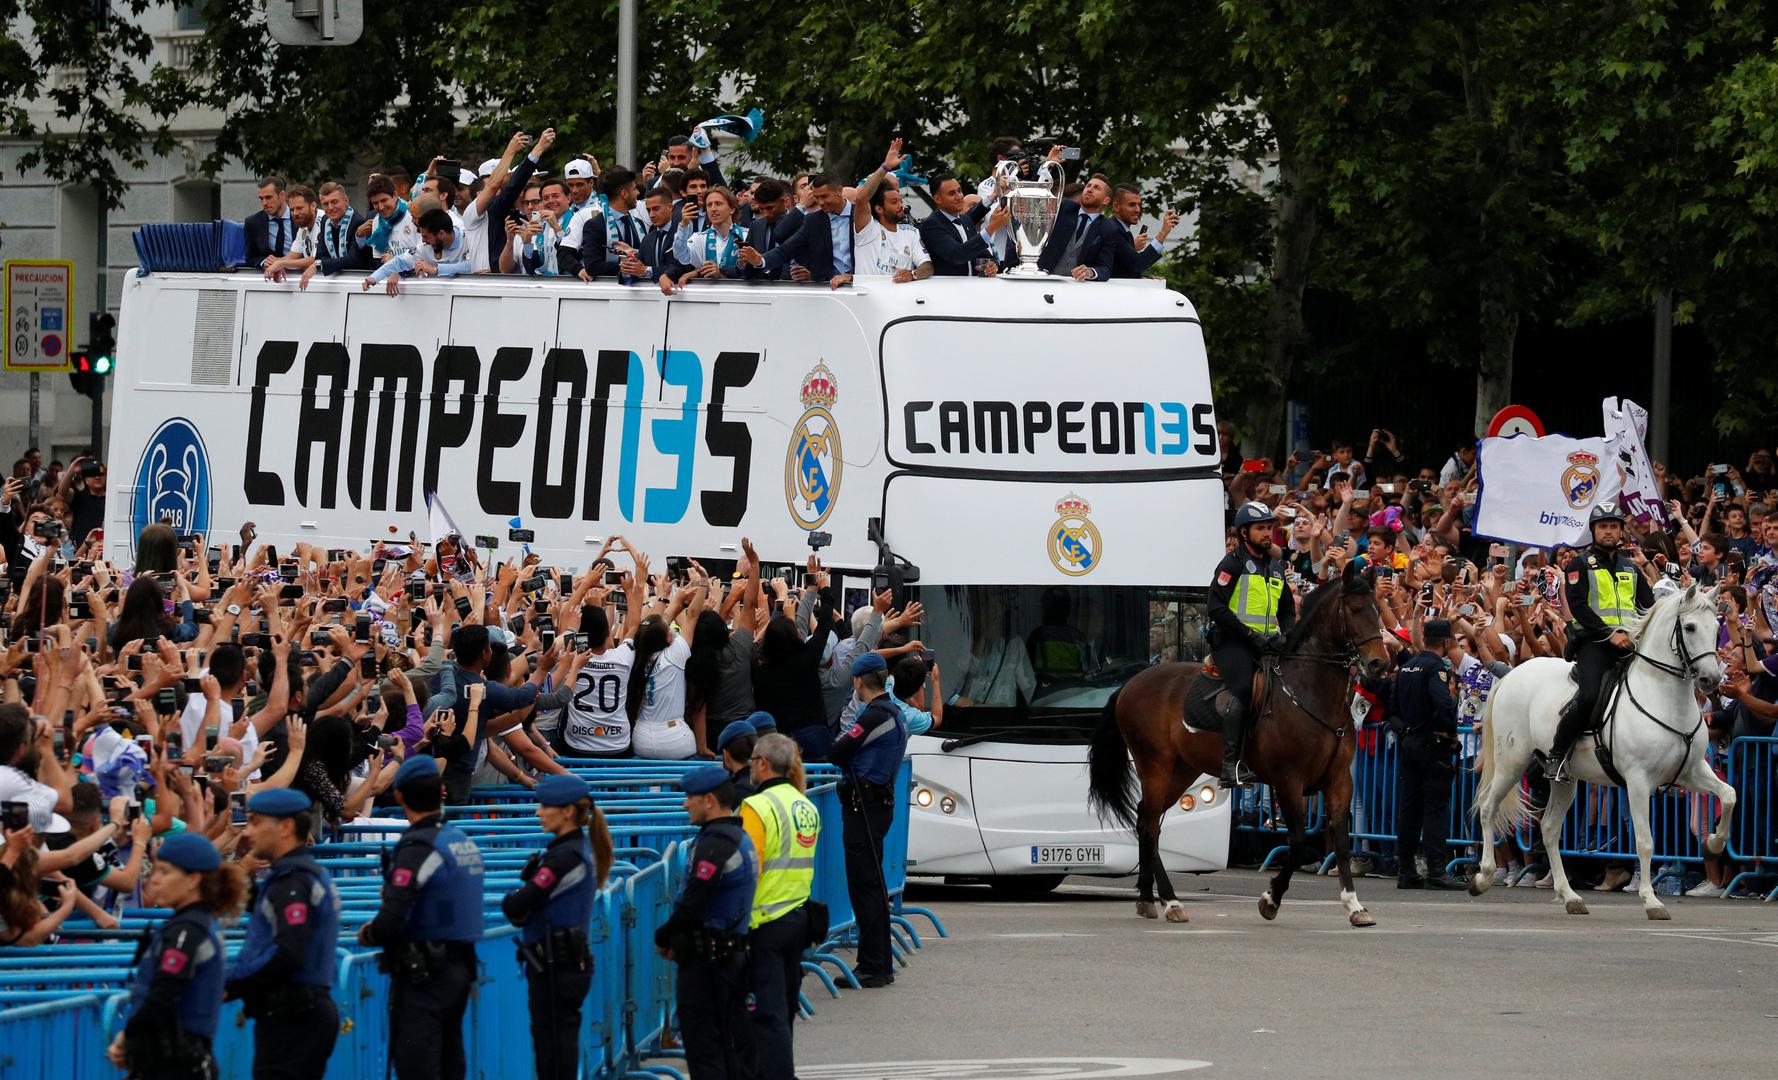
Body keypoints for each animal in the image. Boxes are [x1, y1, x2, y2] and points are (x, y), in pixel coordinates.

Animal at [1088, 565, 1393, 932]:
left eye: (1379, 609)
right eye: (1356, 609)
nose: (1379, 664)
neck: (1309, 691)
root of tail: (1128, 685)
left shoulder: (1339, 781)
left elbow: (1342, 841)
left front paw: (1354, 905)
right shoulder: (1288, 780)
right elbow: (1297, 842)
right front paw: (1270, 901)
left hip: (1182, 769)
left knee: (1147, 822)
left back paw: (1148, 898)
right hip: (1155, 765)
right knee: (1149, 825)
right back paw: (1171, 901)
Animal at [1472, 583, 1735, 918]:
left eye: (1716, 627)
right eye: (1689, 627)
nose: (1711, 680)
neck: (1662, 697)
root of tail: (1511, 674)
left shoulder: (1691, 772)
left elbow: (1729, 795)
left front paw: (1713, 843)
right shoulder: (1638, 781)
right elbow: (1645, 841)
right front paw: (1652, 901)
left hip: (1565, 779)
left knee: (1548, 828)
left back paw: (1570, 896)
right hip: (1512, 763)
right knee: (1488, 806)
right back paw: (1482, 878)